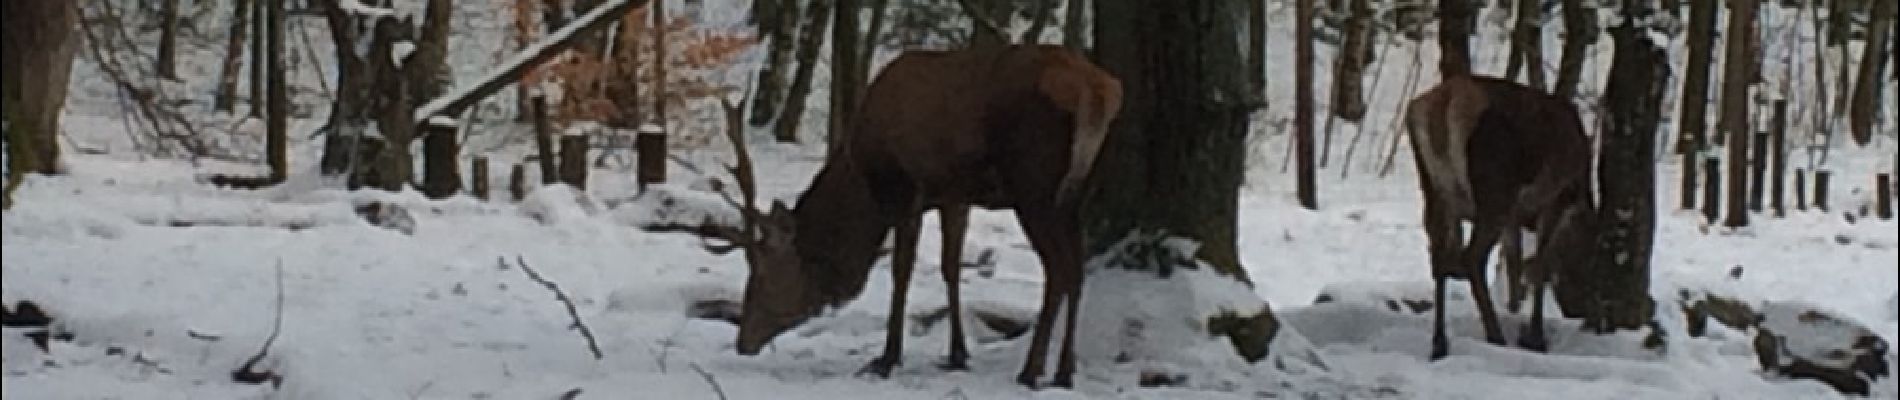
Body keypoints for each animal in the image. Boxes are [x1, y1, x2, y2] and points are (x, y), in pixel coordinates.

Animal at [710, 44, 1124, 386]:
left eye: (762, 276)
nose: (743, 341)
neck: (863, 178)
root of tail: (1100, 91)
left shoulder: (904, 190)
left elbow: (901, 271)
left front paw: (887, 358)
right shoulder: (953, 195)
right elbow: (950, 267)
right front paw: (957, 354)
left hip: (1034, 185)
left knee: (1058, 270)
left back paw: (1031, 370)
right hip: (1077, 192)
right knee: (1078, 269)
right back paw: (1065, 371)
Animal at [1406, 74, 1596, 360]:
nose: (1581, 310)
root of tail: (1445, 102)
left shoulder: (1515, 216)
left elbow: (1514, 260)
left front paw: (1515, 312)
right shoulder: (1553, 200)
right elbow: (1540, 265)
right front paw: (1535, 338)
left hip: (1435, 189)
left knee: (1439, 258)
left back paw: (1440, 343)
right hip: (1494, 188)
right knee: (1471, 257)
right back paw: (1495, 336)